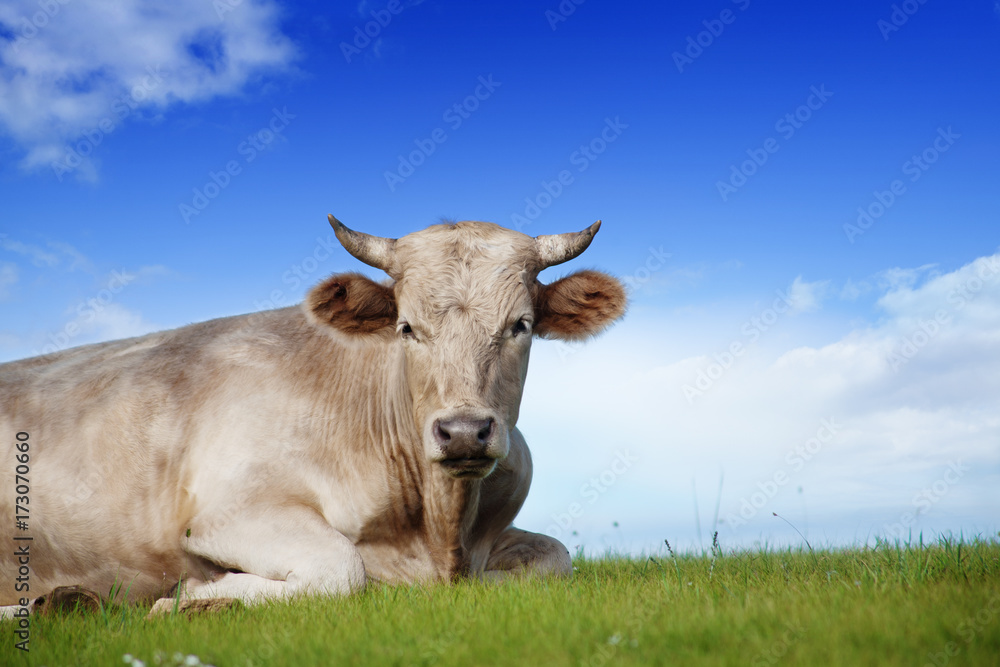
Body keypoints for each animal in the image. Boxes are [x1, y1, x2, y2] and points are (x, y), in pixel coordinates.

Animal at [1, 217, 624, 612]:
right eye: (406, 328)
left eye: (521, 325)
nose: (465, 432)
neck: (439, 531)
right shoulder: (229, 511)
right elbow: (340, 569)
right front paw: (194, 598)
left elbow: (555, 558)